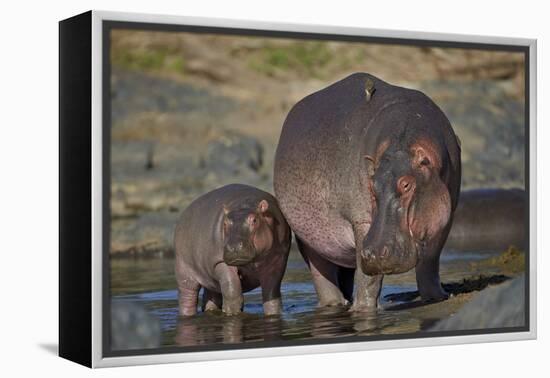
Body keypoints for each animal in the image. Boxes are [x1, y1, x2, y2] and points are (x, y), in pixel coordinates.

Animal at [176, 183, 294, 316]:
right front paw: (232, 313)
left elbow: (271, 294)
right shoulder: (219, 262)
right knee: (187, 297)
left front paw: (274, 314)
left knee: (211, 296)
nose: (234, 247)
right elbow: (233, 291)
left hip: (210, 279)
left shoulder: (278, 260)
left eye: (254, 220)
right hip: (183, 270)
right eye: (225, 223)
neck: (245, 204)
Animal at [274, 72, 462, 312]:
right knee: (322, 273)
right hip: (308, 237)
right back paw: (335, 304)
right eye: (372, 184)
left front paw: (438, 297)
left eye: (406, 184)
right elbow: (369, 279)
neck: (403, 139)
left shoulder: (446, 215)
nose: (372, 254)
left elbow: (431, 260)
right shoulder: (362, 221)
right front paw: (362, 310)